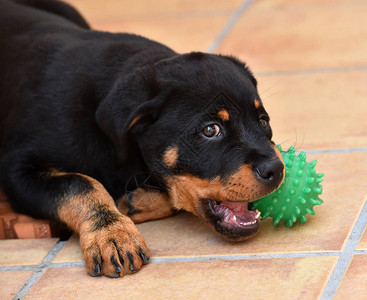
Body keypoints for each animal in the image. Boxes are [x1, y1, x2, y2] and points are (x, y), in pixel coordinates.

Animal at [0, 0, 284, 278]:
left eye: (263, 121)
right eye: (210, 130)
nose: (277, 170)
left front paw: (134, 203)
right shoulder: (16, 171)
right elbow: (79, 183)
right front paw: (112, 233)